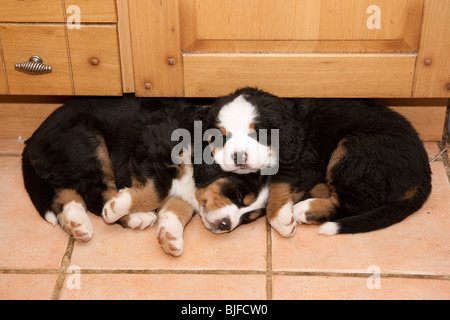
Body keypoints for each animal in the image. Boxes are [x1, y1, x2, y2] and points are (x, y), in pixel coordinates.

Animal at [22, 95, 268, 258]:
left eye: (248, 218)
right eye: (236, 193)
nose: (227, 225)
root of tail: (33, 138)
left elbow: (180, 208)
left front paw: (170, 236)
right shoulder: (152, 150)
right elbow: (158, 191)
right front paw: (120, 206)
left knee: (64, 192)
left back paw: (76, 223)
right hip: (87, 141)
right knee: (94, 192)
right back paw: (133, 216)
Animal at [201, 87, 432, 238]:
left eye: (257, 134)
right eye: (221, 136)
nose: (239, 157)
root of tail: (424, 173)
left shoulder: (300, 157)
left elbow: (278, 184)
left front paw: (280, 218)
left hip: (353, 149)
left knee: (353, 204)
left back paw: (304, 209)